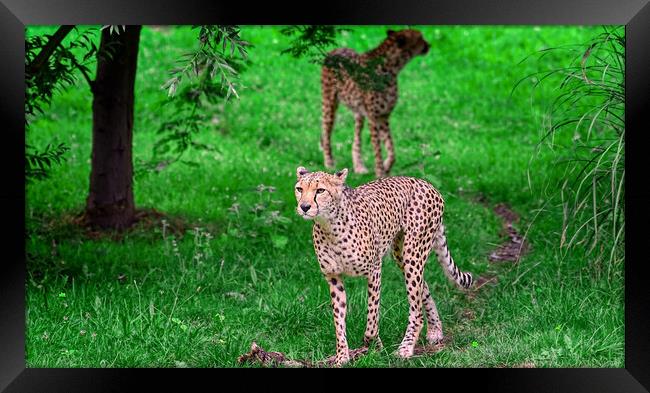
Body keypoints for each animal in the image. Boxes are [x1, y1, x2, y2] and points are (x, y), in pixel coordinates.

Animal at [294, 165, 470, 364]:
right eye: (299, 189)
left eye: (320, 190)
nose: (304, 207)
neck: (329, 226)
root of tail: (425, 182)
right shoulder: (333, 277)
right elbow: (338, 321)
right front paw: (342, 357)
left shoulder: (374, 270)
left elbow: (372, 316)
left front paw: (373, 345)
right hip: (401, 256)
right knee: (423, 287)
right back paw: (435, 330)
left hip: (413, 253)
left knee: (416, 309)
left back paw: (405, 348)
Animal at [320, 29, 430, 177]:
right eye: (420, 38)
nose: (428, 45)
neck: (392, 68)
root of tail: (337, 49)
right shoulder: (373, 117)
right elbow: (378, 150)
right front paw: (380, 173)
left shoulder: (383, 116)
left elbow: (391, 149)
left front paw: (386, 167)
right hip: (329, 104)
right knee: (326, 132)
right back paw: (329, 163)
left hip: (359, 112)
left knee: (356, 139)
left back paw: (359, 166)